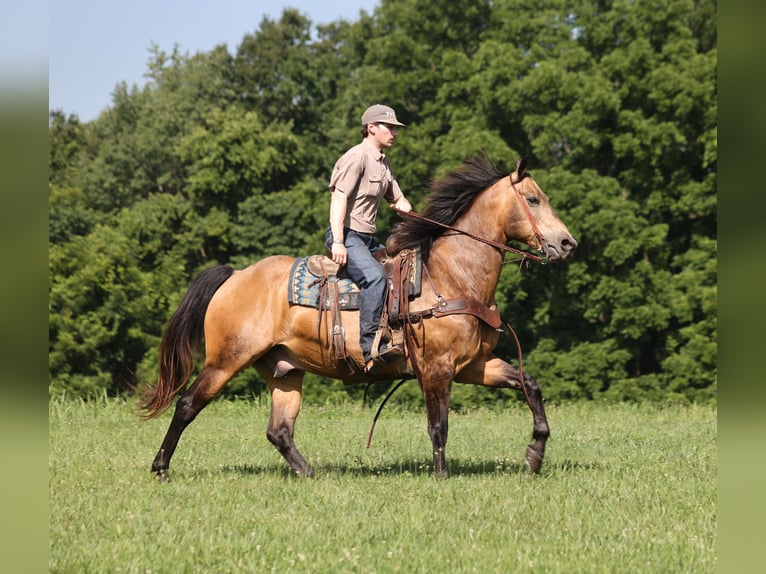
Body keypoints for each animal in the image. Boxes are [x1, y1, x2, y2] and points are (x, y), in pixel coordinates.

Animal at [140, 153, 577, 480]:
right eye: (533, 200)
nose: (567, 242)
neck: (451, 276)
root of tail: (234, 275)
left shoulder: (474, 365)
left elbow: (529, 385)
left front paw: (535, 453)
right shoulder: (437, 368)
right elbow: (439, 425)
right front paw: (441, 476)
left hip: (284, 370)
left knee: (279, 431)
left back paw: (311, 474)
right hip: (226, 360)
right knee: (187, 405)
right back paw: (160, 467)